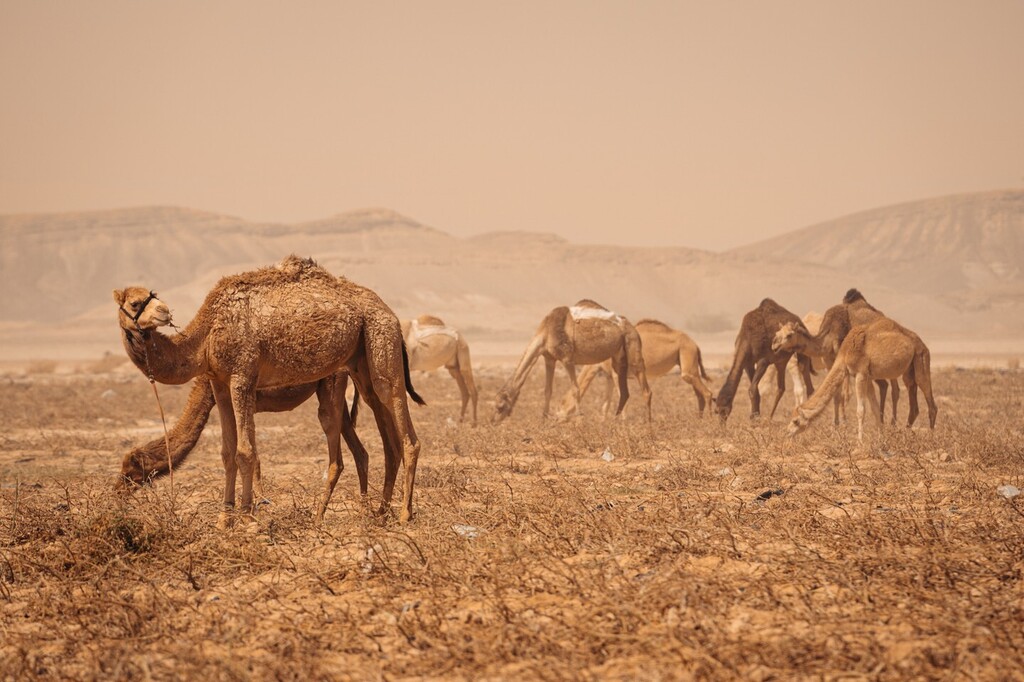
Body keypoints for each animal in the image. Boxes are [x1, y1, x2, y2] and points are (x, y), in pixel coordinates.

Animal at [114, 255, 422, 525]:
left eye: (130, 470)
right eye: (136, 302)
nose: (164, 311)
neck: (205, 338)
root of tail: (389, 312)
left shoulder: (242, 377)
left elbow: (246, 453)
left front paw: (249, 517)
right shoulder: (219, 384)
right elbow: (227, 453)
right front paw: (224, 520)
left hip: (379, 339)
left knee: (398, 417)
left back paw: (402, 514)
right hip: (360, 363)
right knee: (384, 435)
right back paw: (378, 513)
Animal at [492, 300, 652, 423]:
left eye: (500, 406)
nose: (493, 421)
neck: (545, 333)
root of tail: (632, 327)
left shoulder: (567, 359)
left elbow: (576, 390)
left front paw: (579, 421)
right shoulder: (549, 359)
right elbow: (547, 390)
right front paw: (543, 421)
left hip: (633, 347)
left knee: (646, 390)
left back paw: (648, 425)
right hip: (618, 357)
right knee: (624, 392)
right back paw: (614, 423)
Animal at [556, 319, 713, 418]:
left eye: (561, 404)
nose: (557, 419)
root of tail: (695, 345)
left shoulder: (615, 374)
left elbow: (622, 397)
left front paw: (623, 423)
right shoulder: (608, 376)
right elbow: (605, 405)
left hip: (687, 358)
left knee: (707, 393)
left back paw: (709, 422)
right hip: (687, 365)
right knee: (699, 395)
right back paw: (699, 420)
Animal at [787, 317, 938, 441]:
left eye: (795, 421)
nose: (787, 433)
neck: (844, 354)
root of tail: (922, 344)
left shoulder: (860, 374)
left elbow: (860, 411)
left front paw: (859, 442)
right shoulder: (868, 377)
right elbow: (875, 409)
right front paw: (881, 439)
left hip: (921, 358)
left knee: (931, 403)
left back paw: (931, 438)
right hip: (909, 371)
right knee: (914, 402)